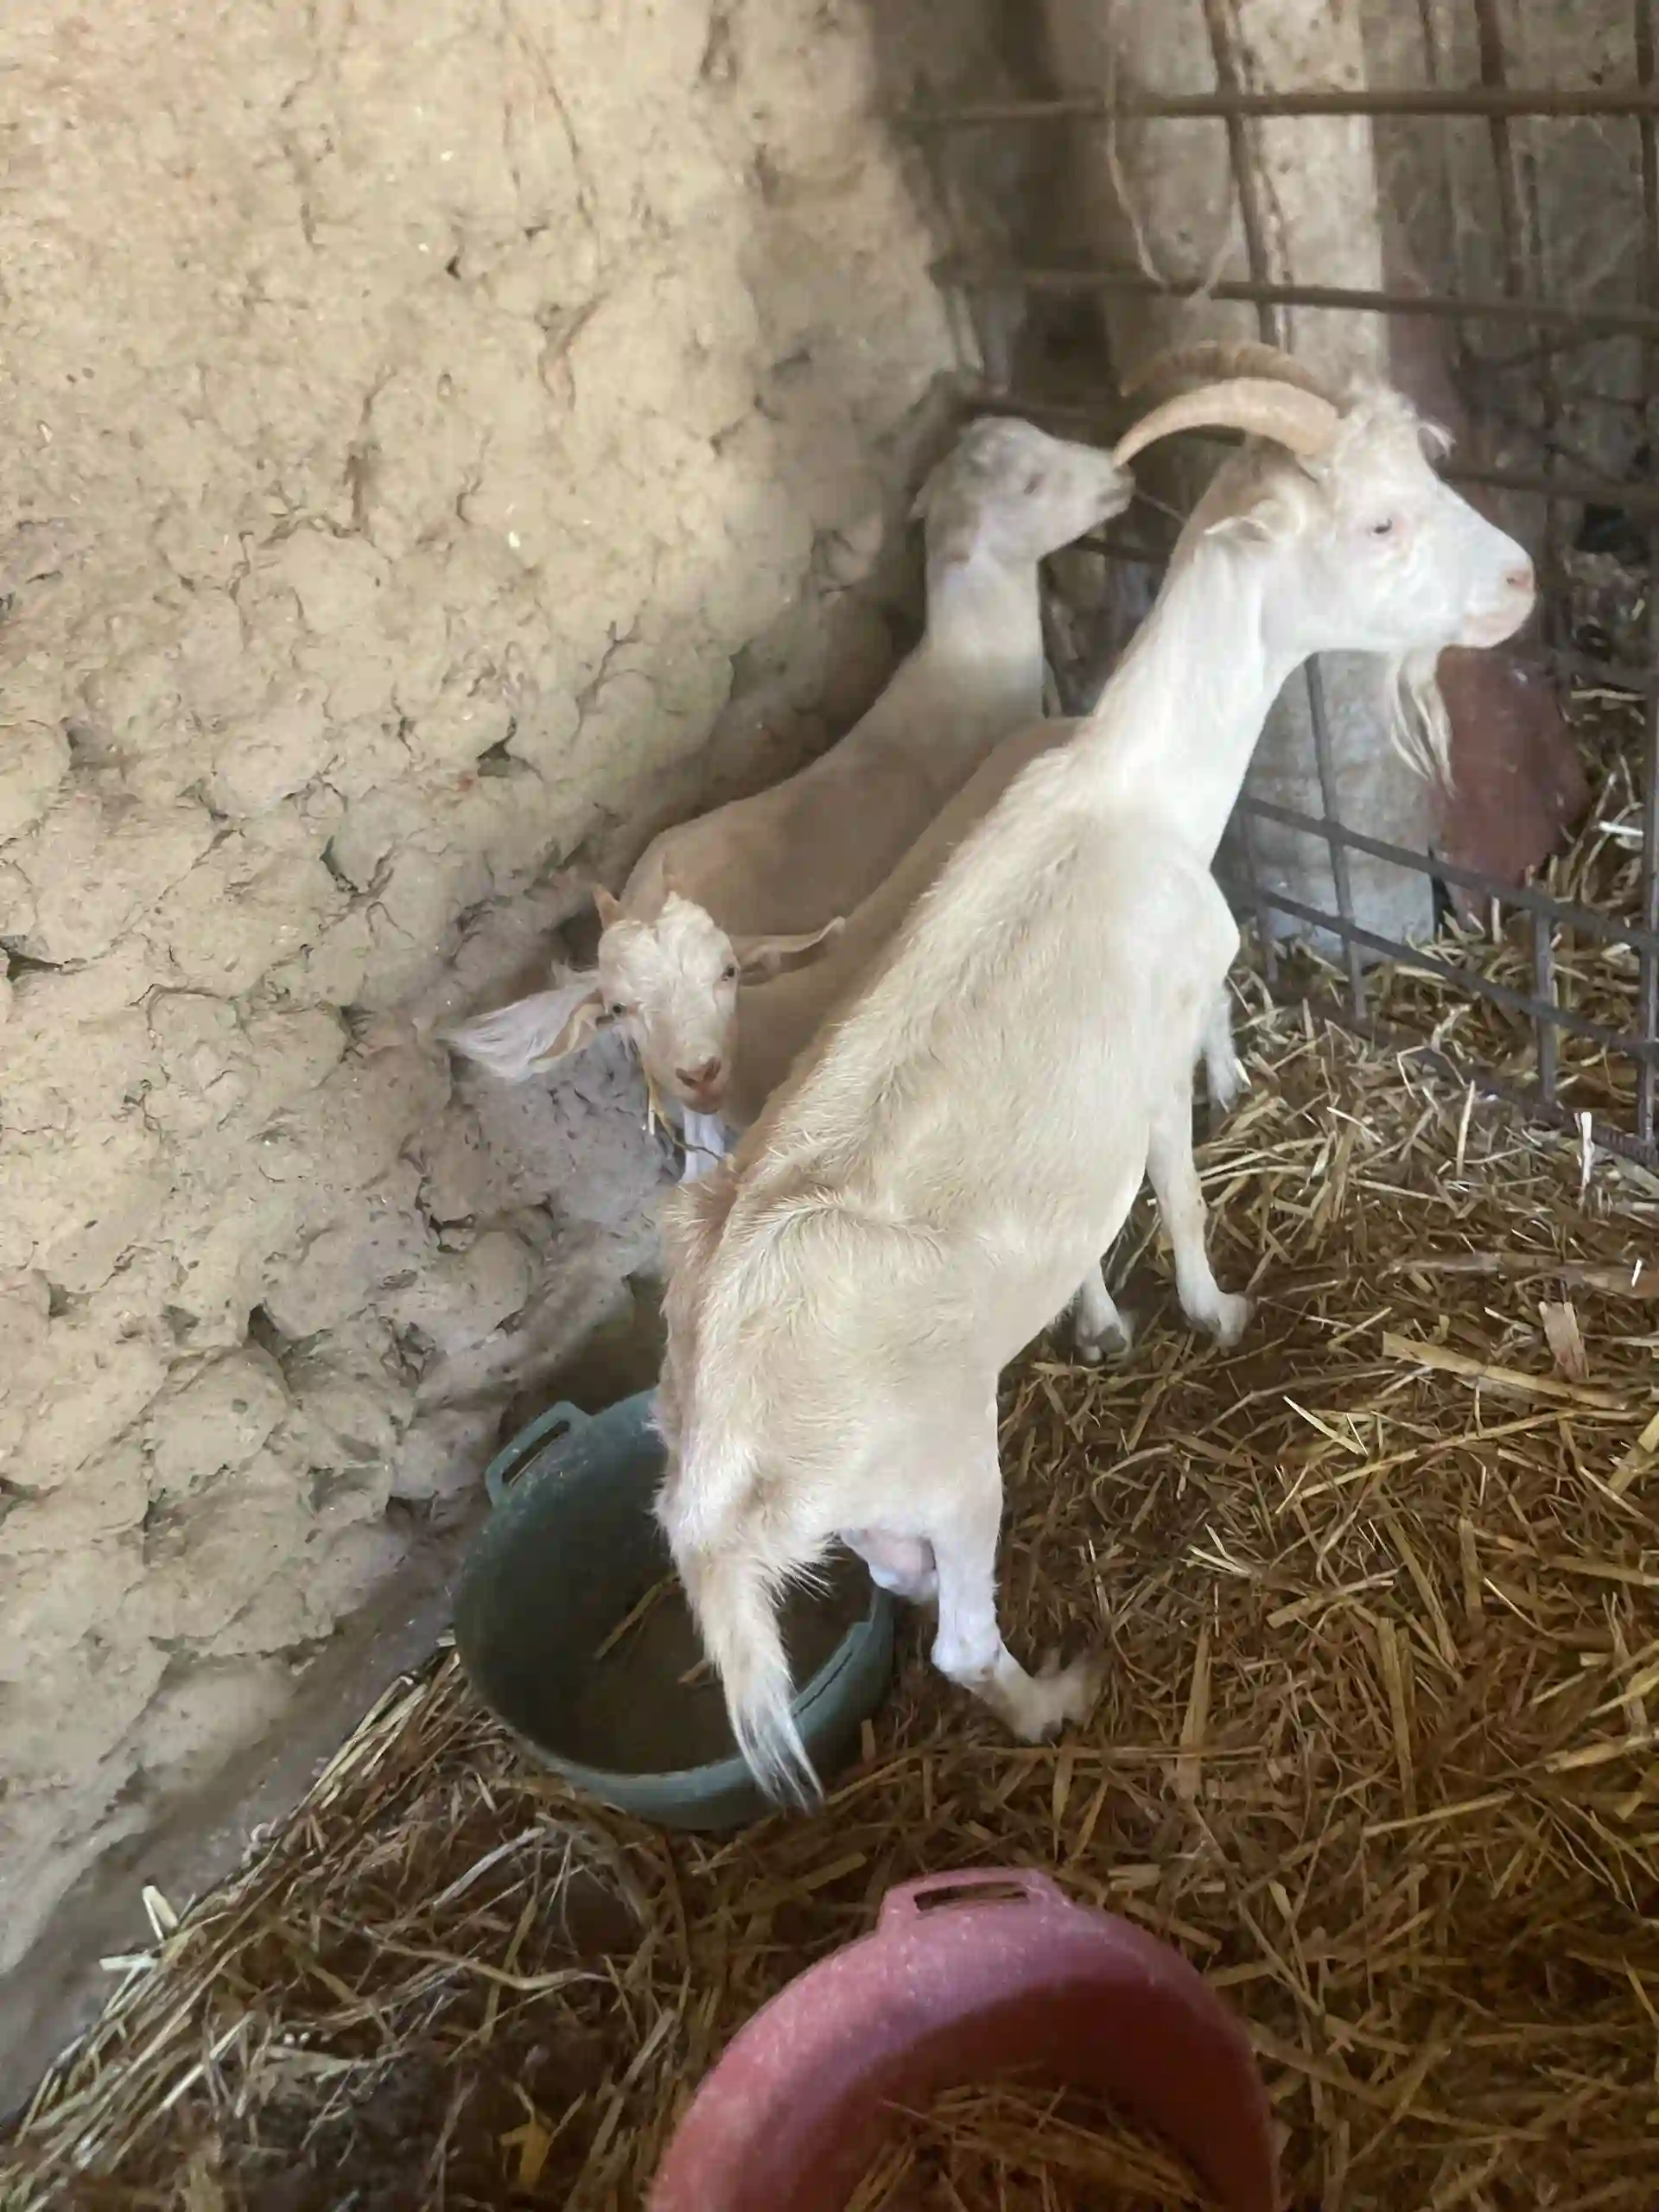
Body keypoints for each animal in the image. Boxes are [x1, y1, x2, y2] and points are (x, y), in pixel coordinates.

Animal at [654, 350, 1536, 1802]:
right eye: (1379, 524)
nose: (1519, 583)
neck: (1134, 785)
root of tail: (720, 1490)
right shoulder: (1159, 1042)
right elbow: (1177, 1188)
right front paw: (1215, 1310)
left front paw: (1101, 1321)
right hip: (947, 1468)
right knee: (960, 1636)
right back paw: (1054, 1697)